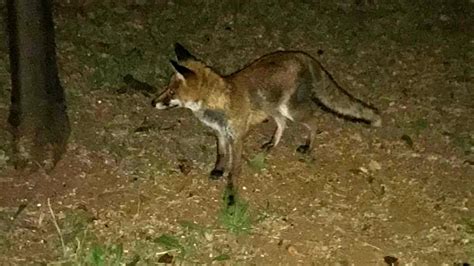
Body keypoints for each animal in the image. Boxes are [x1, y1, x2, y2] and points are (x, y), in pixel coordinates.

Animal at [152, 43, 382, 195]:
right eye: (166, 88)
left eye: (171, 92)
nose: (152, 102)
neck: (218, 103)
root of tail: (301, 55)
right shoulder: (220, 133)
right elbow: (221, 155)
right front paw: (218, 170)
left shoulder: (237, 137)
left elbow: (234, 168)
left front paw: (231, 193)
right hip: (275, 109)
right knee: (282, 124)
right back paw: (273, 143)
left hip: (292, 109)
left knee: (314, 121)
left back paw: (308, 146)